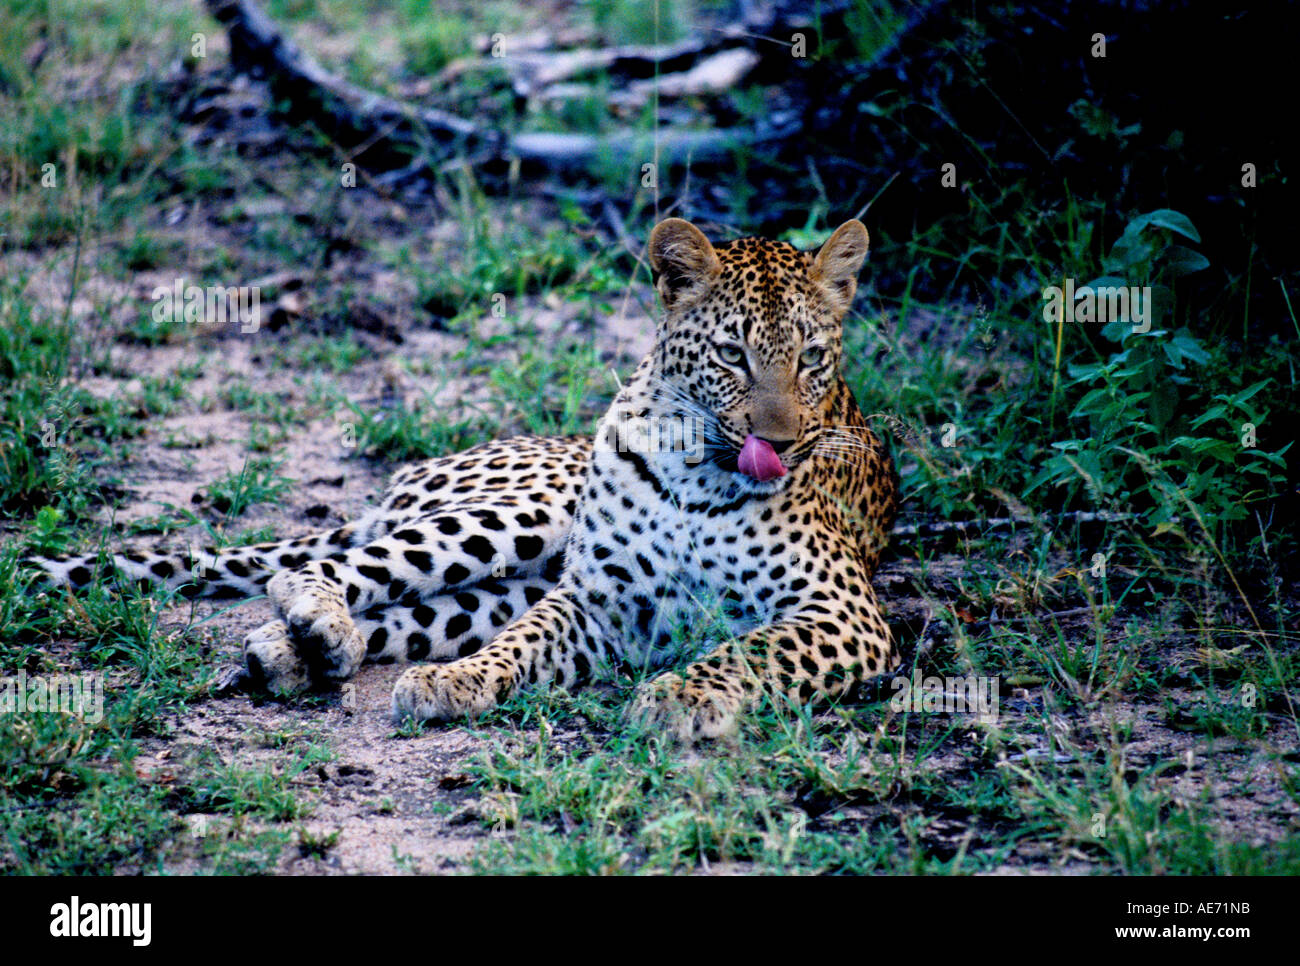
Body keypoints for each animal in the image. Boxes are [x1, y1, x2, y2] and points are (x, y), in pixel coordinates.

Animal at [30, 216, 899, 739]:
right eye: (731, 354)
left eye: (811, 358)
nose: (778, 443)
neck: (695, 472)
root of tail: (411, 473)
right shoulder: (595, 598)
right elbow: (525, 640)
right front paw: (464, 679)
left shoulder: (841, 612)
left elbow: (752, 650)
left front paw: (683, 694)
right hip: (525, 514)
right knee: (340, 568)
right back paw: (316, 621)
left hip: (508, 569)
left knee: (410, 611)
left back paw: (295, 651)